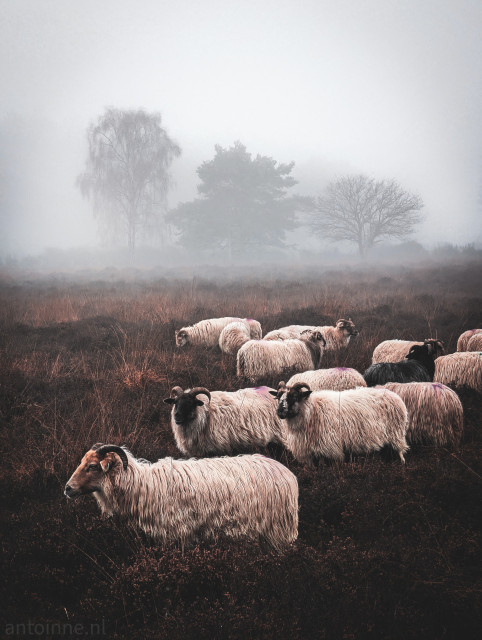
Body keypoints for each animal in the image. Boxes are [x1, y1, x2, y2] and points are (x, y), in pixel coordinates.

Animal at [64, 444, 298, 552]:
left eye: (92, 466)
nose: (67, 488)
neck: (144, 486)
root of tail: (287, 473)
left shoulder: (179, 533)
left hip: (278, 532)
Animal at [270, 382, 408, 464]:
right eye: (278, 396)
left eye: (294, 397)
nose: (279, 411)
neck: (312, 411)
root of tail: (395, 396)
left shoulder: (331, 448)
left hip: (396, 432)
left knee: (400, 450)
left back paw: (402, 463)